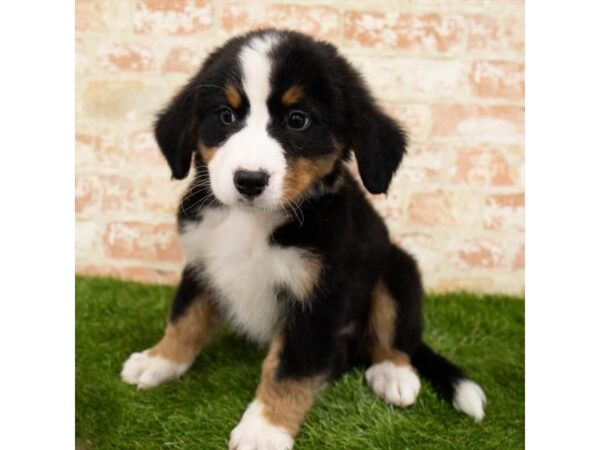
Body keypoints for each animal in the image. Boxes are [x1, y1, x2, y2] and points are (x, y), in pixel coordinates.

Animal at [120, 29, 488, 450]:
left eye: (298, 120)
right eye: (227, 116)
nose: (249, 180)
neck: (251, 221)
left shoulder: (318, 297)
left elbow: (290, 369)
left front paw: (264, 429)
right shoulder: (201, 263)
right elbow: (185, 318)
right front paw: (159, 361)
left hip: (398, 269)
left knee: (393, 337)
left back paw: (393, 375)